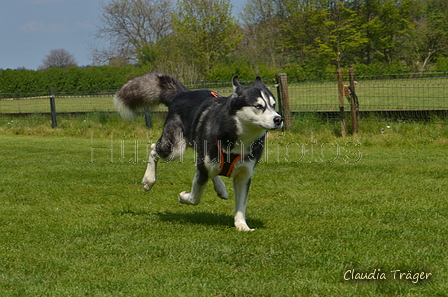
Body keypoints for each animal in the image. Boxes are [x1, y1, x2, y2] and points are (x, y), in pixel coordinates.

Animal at [115, 72, 284, 231]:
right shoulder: (204, 165)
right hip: (174, 149)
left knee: (209, 170)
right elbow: (195, 198)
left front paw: (242, 225)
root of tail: (181, 94)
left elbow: (241, 205)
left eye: (273, 105)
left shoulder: (244, 175)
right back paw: (149, 180)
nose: (279, 119)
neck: (237, 138)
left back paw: (220, 188)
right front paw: (183, 197)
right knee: (153, 149)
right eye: (258, 106)